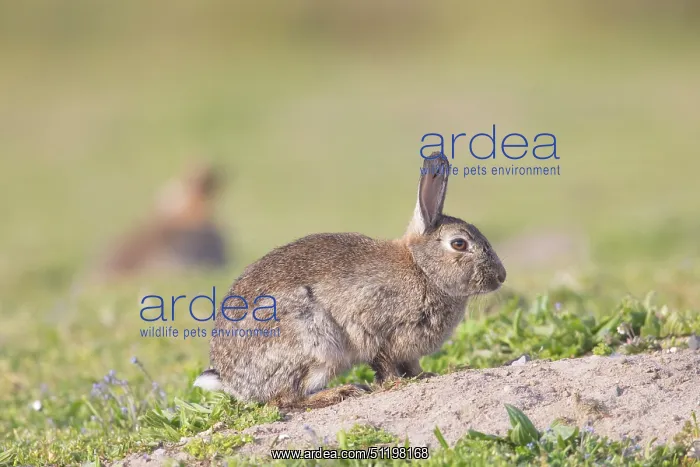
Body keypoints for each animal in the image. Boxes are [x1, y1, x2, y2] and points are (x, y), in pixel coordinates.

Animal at [194, 152, 506, 409]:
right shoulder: (374, 327)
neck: (422, 268)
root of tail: (231, 380)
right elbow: (384, 362)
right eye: (459, 244)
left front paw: (429, 374)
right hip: (313, 340)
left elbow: (412, 364)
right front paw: (397, 383)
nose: (501, 277)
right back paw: (341, 392)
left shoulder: (407, 348)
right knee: (287, 399)